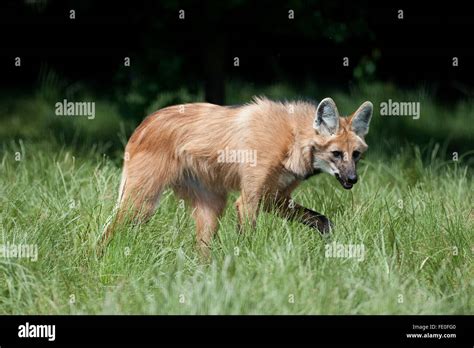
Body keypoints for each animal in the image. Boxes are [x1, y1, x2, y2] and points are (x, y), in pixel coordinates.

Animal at [99, 96, 374, 256]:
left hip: (211, 206)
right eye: (336, 154)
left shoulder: (274, 199)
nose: (352, 180)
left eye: (356, 155)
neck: (291, 140)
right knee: (107, 232)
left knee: (202, 250)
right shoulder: (249, 199)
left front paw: (331, 248)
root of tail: (143, 124)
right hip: (142, 204)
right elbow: (249, 237)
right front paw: (247, 267)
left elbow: (324, 221)